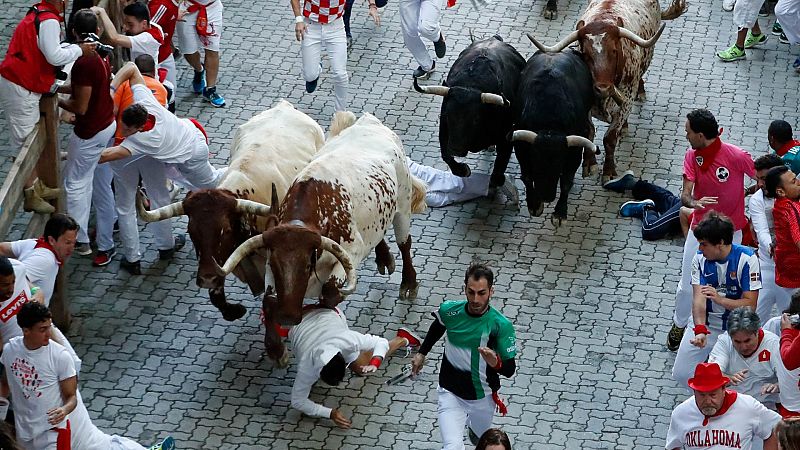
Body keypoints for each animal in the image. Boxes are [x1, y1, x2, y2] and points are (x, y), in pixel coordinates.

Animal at [412, 35, 524, 189]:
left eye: (476, 119)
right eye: (448, 115)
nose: (456, 149)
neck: (471, 85)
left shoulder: (506, 137)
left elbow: (499, 167)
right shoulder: (444, 128)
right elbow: (445, 155)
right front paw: (462, 170)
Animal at [510, 50, 596, 225]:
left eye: (560, 163)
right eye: (535, 160)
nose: (546, 197)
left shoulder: (574, 151)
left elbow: (566, 181)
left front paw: (560, 213)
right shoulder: (521, 148)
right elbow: (527, 176)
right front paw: (534, 205)